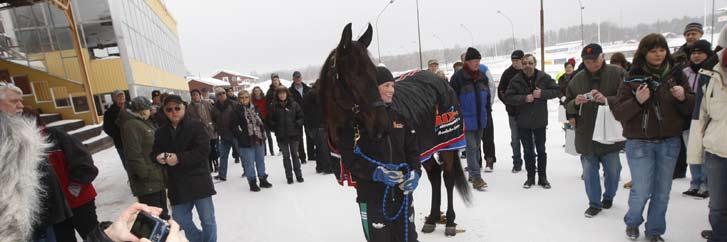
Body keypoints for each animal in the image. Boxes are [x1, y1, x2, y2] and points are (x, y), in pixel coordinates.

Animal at [320, 23, 472, 236]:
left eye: (374, 72)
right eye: (352, 75)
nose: (382, 125)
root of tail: (440, 80)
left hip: (447, 144)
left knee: (447, 177)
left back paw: (449, 221)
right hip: (424, 149)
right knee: (434, 175)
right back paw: (432, 218)